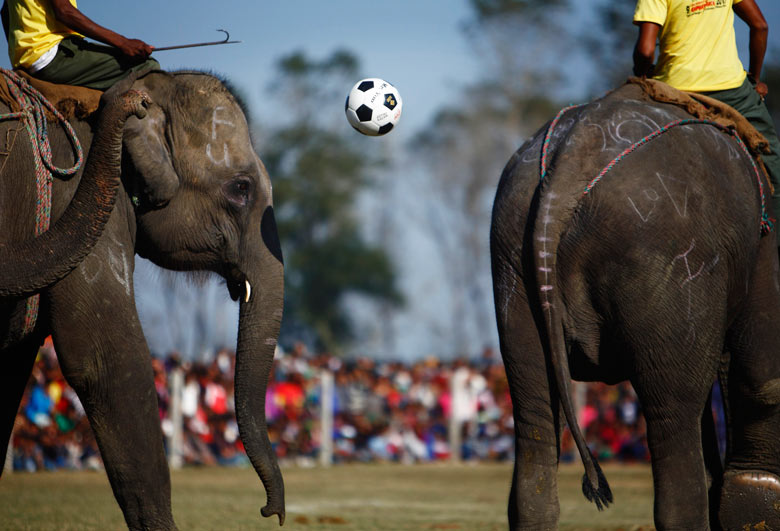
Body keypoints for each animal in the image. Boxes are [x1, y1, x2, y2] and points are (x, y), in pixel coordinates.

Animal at [490, 81, 780, 528]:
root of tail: (572, 158)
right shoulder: (762, 243)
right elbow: (762, 380)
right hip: (668, 261)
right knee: (674, 419)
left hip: (512, 261)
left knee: (533, 418)